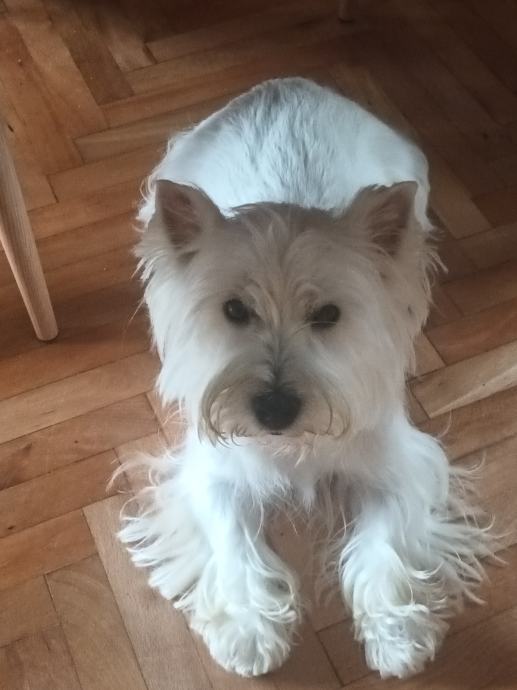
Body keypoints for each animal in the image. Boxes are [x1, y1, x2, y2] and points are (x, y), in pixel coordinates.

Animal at [119, 78, 495, 679]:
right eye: (234, 310)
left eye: (328, 315)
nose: (274, 411)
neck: (292, 445)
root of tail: (289, 84)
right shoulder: (213, 474)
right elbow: (232, 540)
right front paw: (250, 632)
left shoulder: (399, 464)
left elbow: (383, 542)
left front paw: (397, 635)